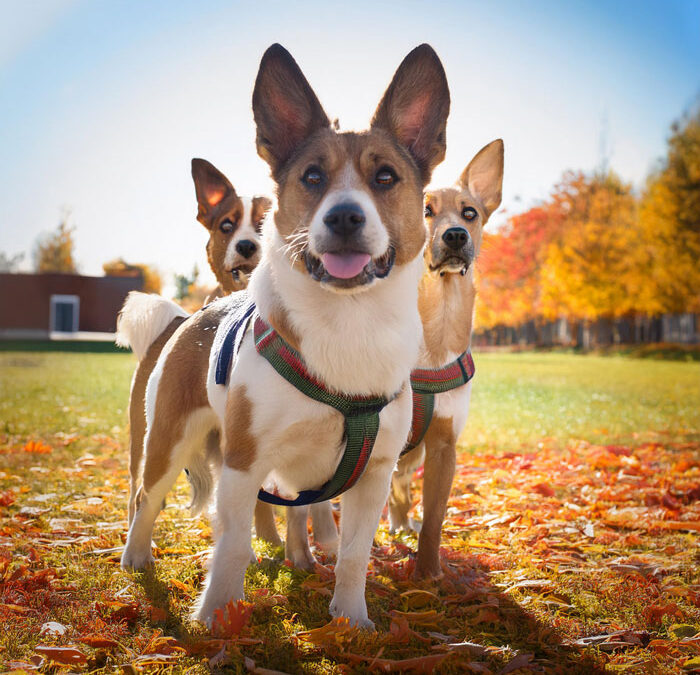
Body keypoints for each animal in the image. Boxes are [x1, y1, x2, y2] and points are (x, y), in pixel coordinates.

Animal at [119, 45, 448, 632]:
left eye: (385, 177)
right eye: (312, 176)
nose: (345, 216)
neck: (347, 323)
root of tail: (193, 317)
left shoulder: (374, 475)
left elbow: (354, 555)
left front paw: (350, 621)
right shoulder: (244, 462)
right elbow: (229, 545)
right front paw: (216, 618)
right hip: (166, 441)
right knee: (145, 497)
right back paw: (136, 557)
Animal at [388, 140, 504, 580]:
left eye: (470, 213)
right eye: (425, 210)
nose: (455, 235)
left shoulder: (443, 448)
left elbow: (435, 519)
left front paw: (427, 574)